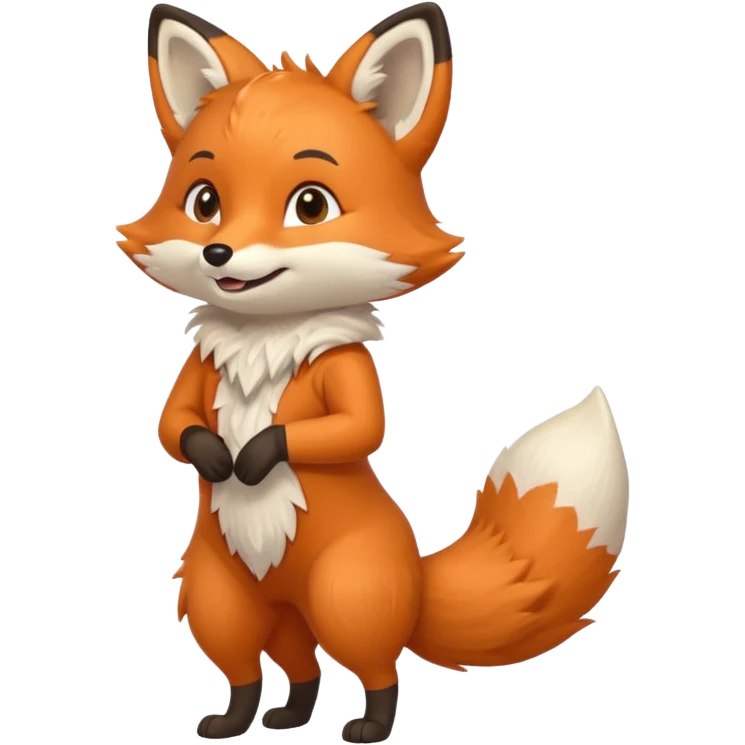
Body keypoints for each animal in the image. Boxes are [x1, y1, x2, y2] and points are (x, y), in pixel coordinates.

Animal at [116, 2, 631, 742]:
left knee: (375, 668)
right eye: (204, 201)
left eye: (310, 205)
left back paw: (367, 726)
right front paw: (216, 455)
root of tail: (414, 583)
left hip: (346, 593)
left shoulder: (347, 372)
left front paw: (253, 457)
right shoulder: (194, 373)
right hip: (225, 596)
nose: (219, 253)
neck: (265, 339)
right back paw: (255, 718)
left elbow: (354, 428)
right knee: (275, 664)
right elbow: (173, 423)